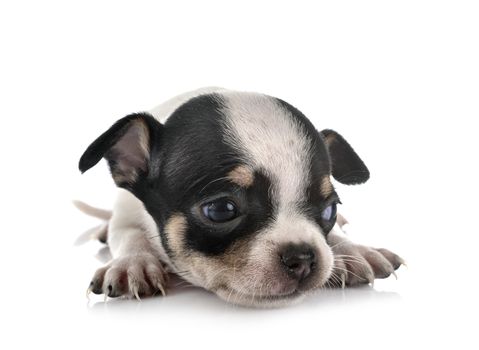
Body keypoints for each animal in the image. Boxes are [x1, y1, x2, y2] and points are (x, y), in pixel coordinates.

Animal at [79, 87, 404, 306]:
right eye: (221, 209)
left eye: (329, 211)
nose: (302, 257)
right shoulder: (125, 214)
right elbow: (128, 236)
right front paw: (132, 264)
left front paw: (354, 250)